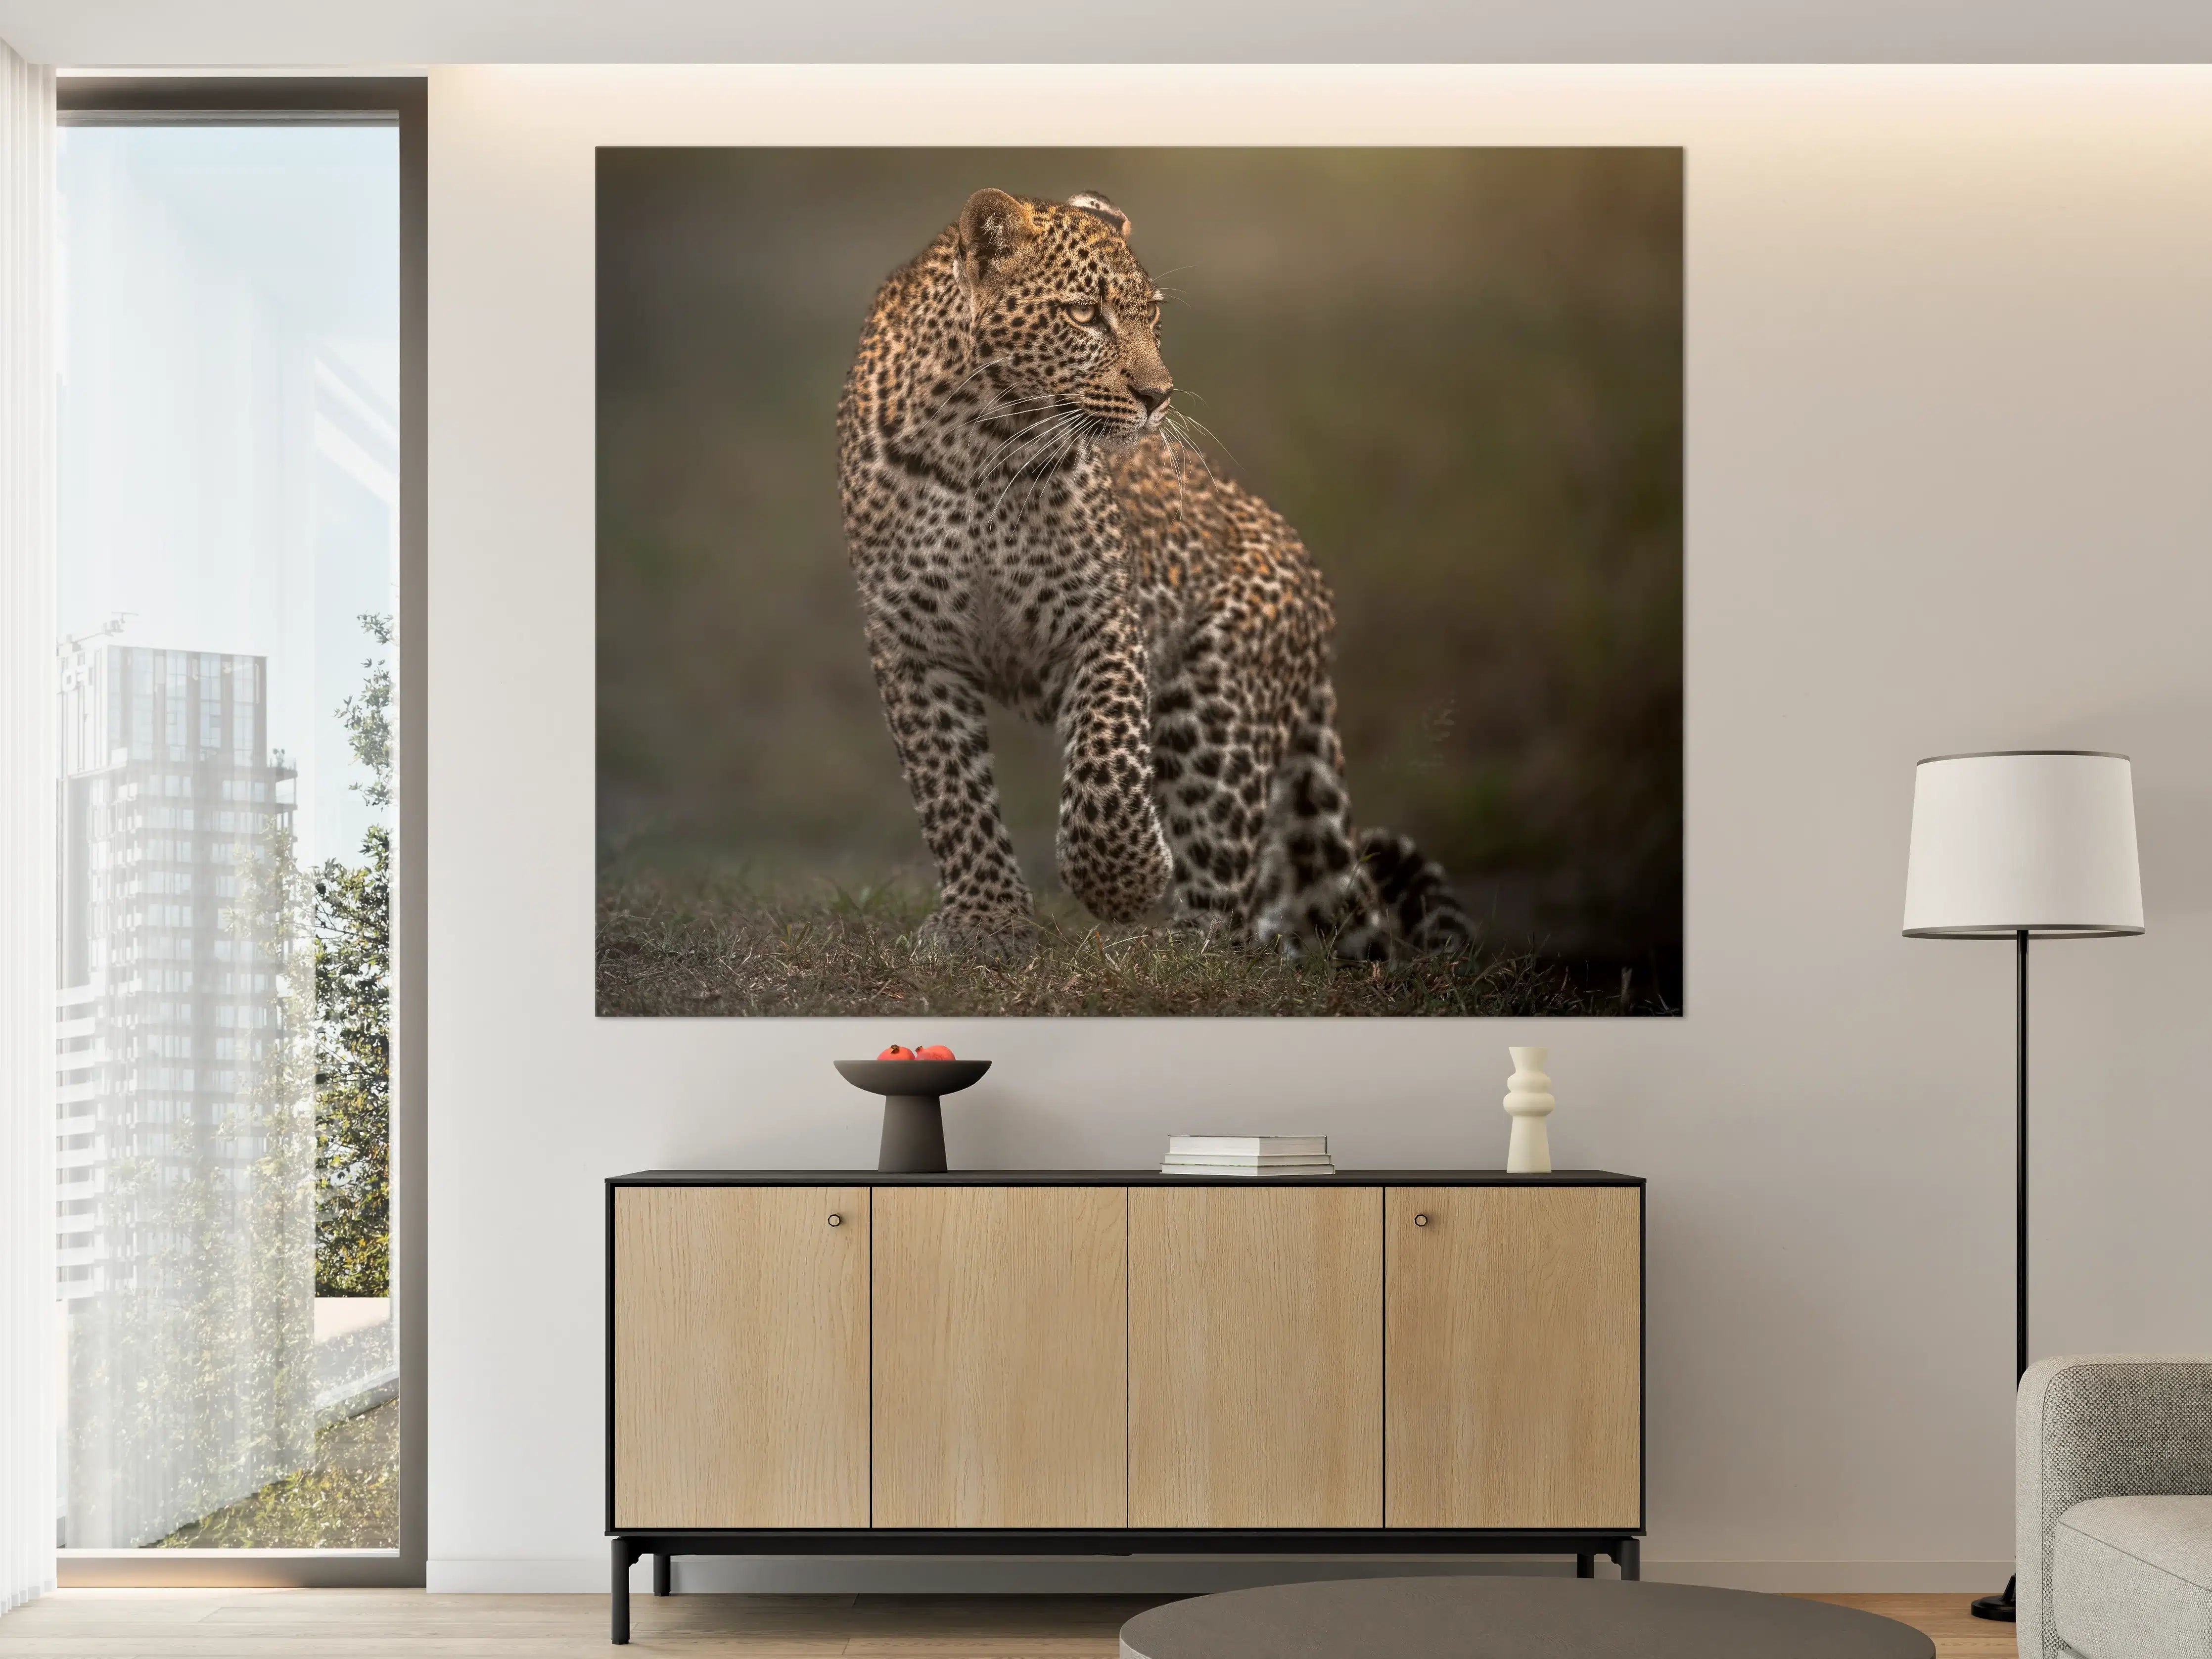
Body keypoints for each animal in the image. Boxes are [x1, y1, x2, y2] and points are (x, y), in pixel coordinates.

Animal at [835, 186, 1473, 962]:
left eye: (1153, 316)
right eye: (1085, 314)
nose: (1159, 396)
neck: (980, 447)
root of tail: (1314, 589)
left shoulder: (1102, 616)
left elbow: (1107, 761)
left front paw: (1123, 880)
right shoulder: (910, 643)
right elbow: (949, 790)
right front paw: (985, 922)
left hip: (1215, 704)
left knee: (1227, 894)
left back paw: (1180, 952)